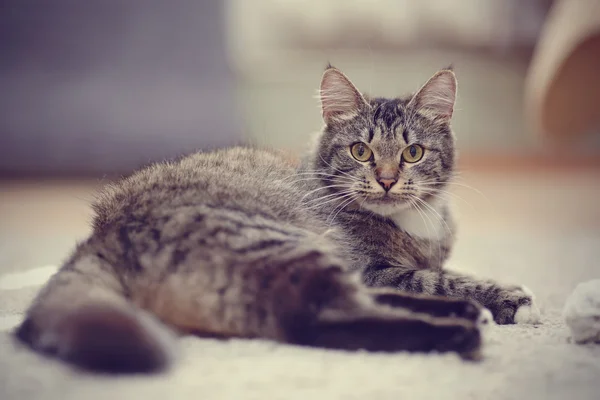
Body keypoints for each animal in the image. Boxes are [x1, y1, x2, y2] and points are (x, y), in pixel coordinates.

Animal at [14, 64, 540, 374]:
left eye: (413, 153)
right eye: (361, 151)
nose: (389, 180)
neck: (415, 223)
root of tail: (105, 230)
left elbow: (444, 273)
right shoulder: (376, 266)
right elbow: (439, 278)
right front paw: (510, 299)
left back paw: (463, 316)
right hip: (287, 245)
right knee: (323, 320)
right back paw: (458, 330)